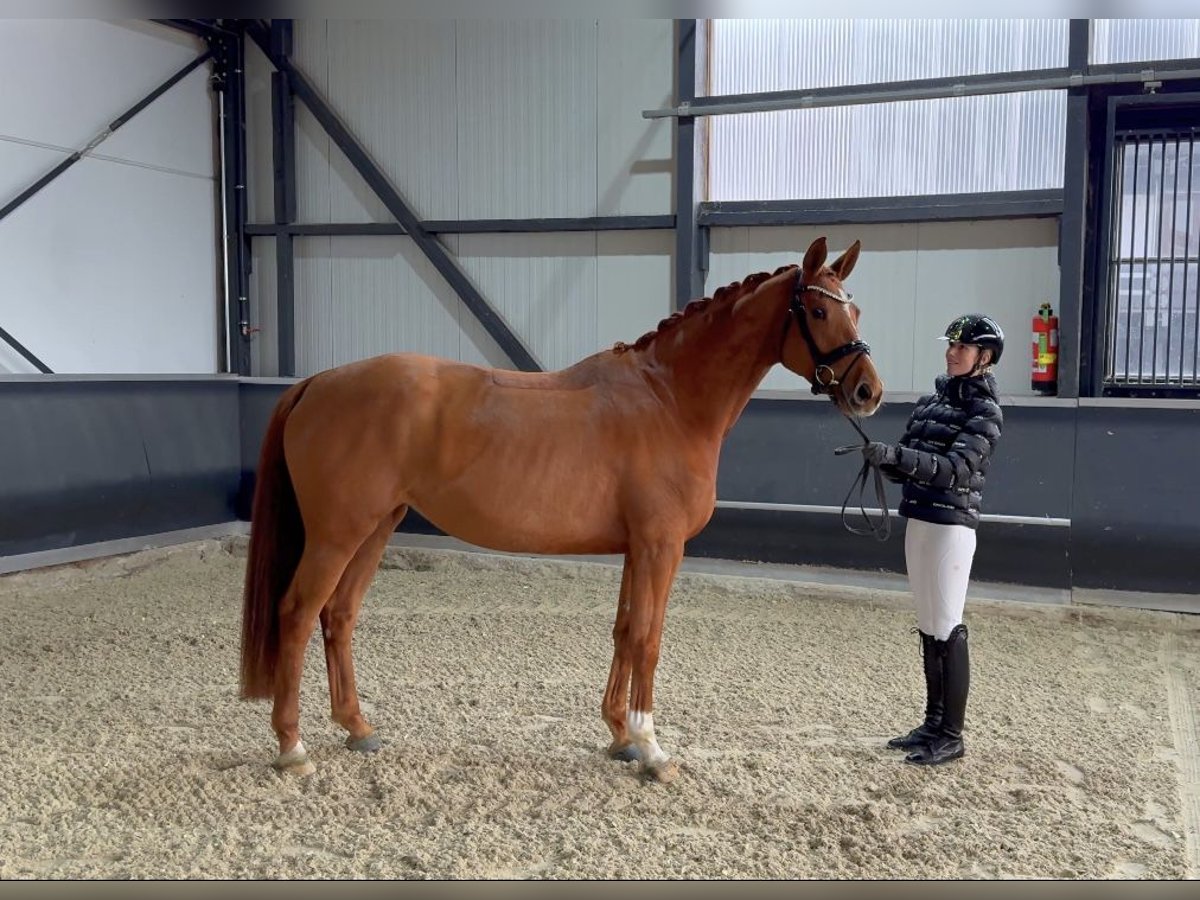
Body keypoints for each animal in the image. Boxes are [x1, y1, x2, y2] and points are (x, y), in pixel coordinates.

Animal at [238, 237, 888, 782]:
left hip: (375, 528)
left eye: (857, 311)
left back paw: (358, 728)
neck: (669, 400)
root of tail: (318, 382)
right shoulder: (661, 546)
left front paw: (619, 735)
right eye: (820, 312)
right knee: (297, 614)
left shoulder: (637, 548)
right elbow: (649, 638)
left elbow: (625, 631)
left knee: (339, 615)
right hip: (337, 534)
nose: (869, 392)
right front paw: (652, 750)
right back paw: (292, 748)